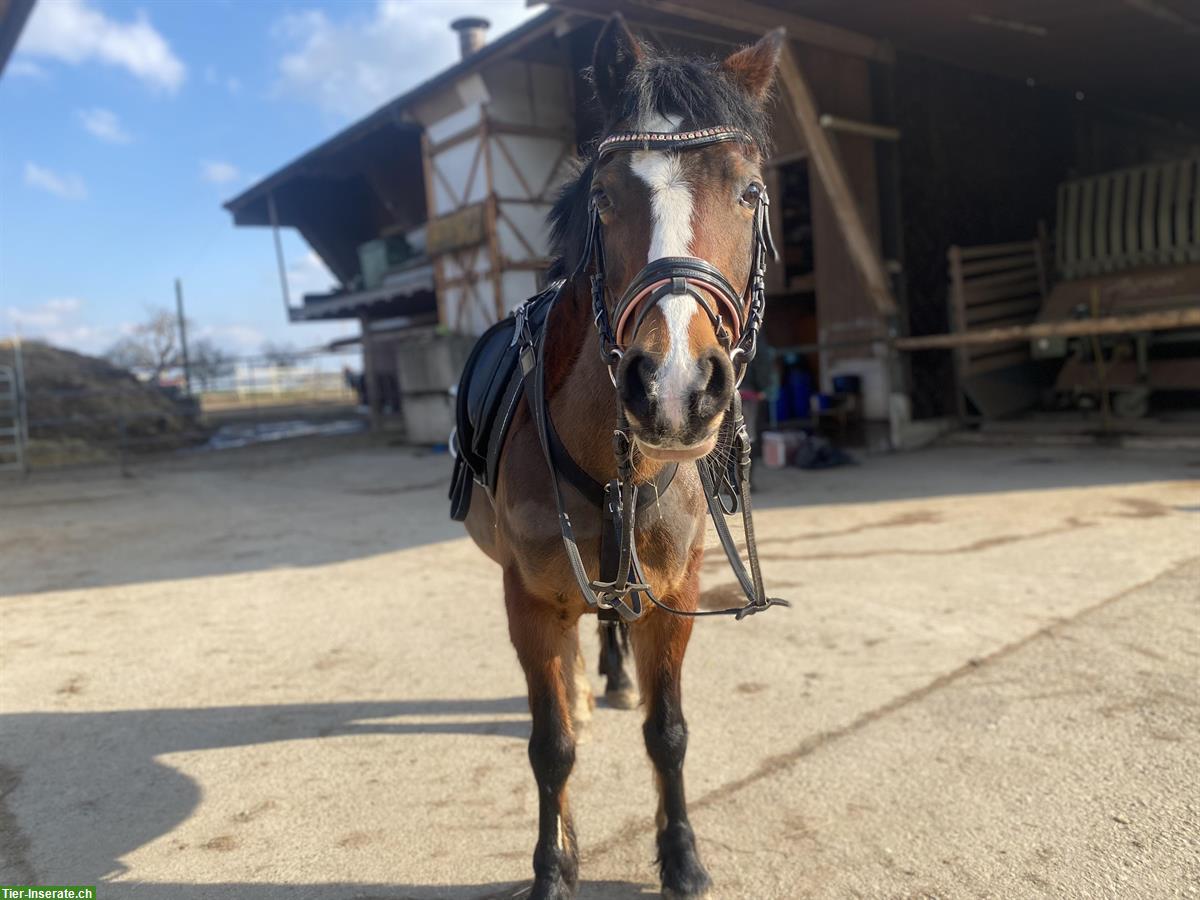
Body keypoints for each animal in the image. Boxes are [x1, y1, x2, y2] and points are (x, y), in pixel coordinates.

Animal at [460, 17, 787, 897]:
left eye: (749, 192)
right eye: (604, 196)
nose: (674, 388)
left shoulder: (674, 594)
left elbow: (667, 731)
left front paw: (682, 859)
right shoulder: (527, 601)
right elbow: (550, 748)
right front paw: (553, 866)